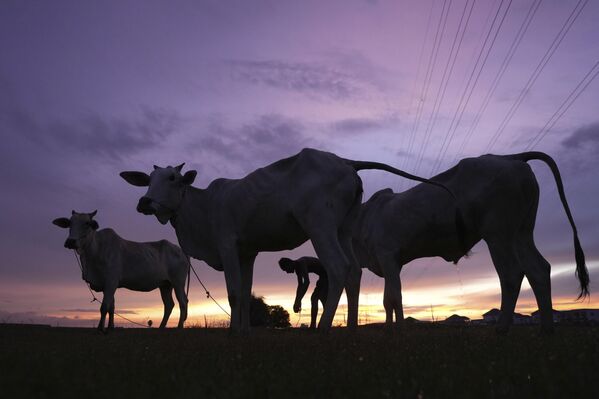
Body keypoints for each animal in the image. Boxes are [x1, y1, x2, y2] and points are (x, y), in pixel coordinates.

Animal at [54, 211, 191, 332]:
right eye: (70, 223)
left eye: (87, 223)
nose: (70, 242)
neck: (94, 251)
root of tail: (181, 251)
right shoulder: (108, 285)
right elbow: (111, 307)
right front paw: (110, 327)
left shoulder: (111, 281)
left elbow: (104, 307)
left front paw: (100, 329)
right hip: (165, 285)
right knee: (169, 305)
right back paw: (161, 327)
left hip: (178, 283)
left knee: (183, 302)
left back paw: (179, 327)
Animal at [120, 148, 460, 334]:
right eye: (148, 180)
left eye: (173, 178)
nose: (144, 202)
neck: (202, 209)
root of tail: (345, 161)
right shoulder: (247, 252)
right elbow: (245, 291)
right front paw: (244, 333)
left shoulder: (228, 245)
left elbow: (233, 293)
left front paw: (232, 334)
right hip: (344, 229)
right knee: (354, 273)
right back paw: (350, 331)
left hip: (320, 225)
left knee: (339, 267)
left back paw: (323, 331)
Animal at [354, 152, 588, 334]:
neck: (365, 217)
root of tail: (509, 157)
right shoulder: (391, 263)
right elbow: (389, 299)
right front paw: (389, 329)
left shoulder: (387, 256)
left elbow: (393, 298)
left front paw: (397, 331)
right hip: (522, 232)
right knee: (538, 269)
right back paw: (546, 330)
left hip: (498, 234)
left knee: (512, 273)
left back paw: (501, 329)